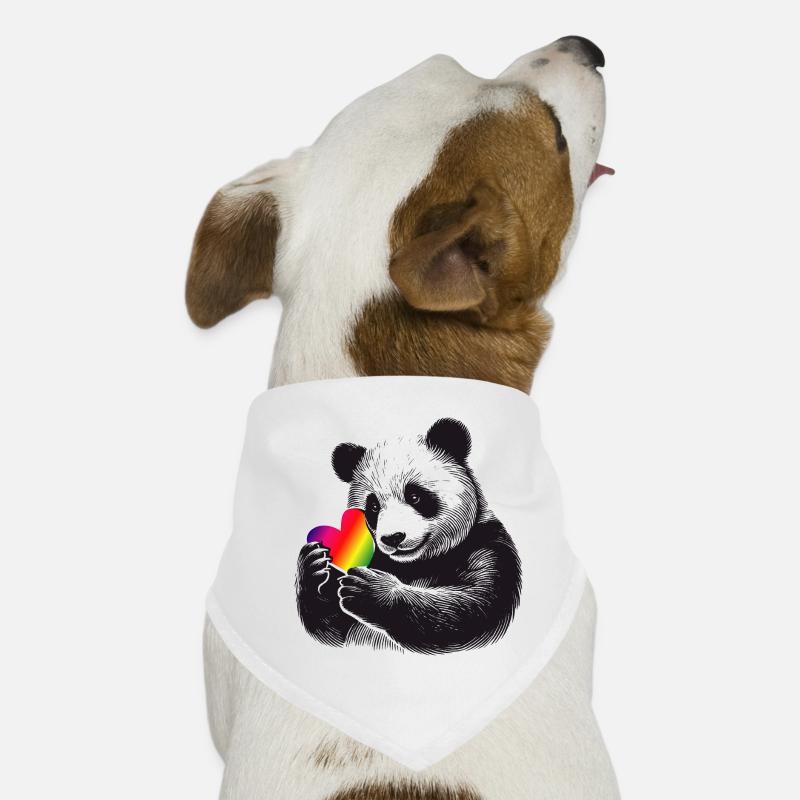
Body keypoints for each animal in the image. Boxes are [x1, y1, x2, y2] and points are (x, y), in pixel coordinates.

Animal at [296, 418, 522, 654]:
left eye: (414, 496)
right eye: (373, 506)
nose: (393, 538)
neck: (417, 564)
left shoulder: (488, 547)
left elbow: (469, 609)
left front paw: (370, 592)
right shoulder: (379, 559)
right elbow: (331, 633)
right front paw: (314, 565)